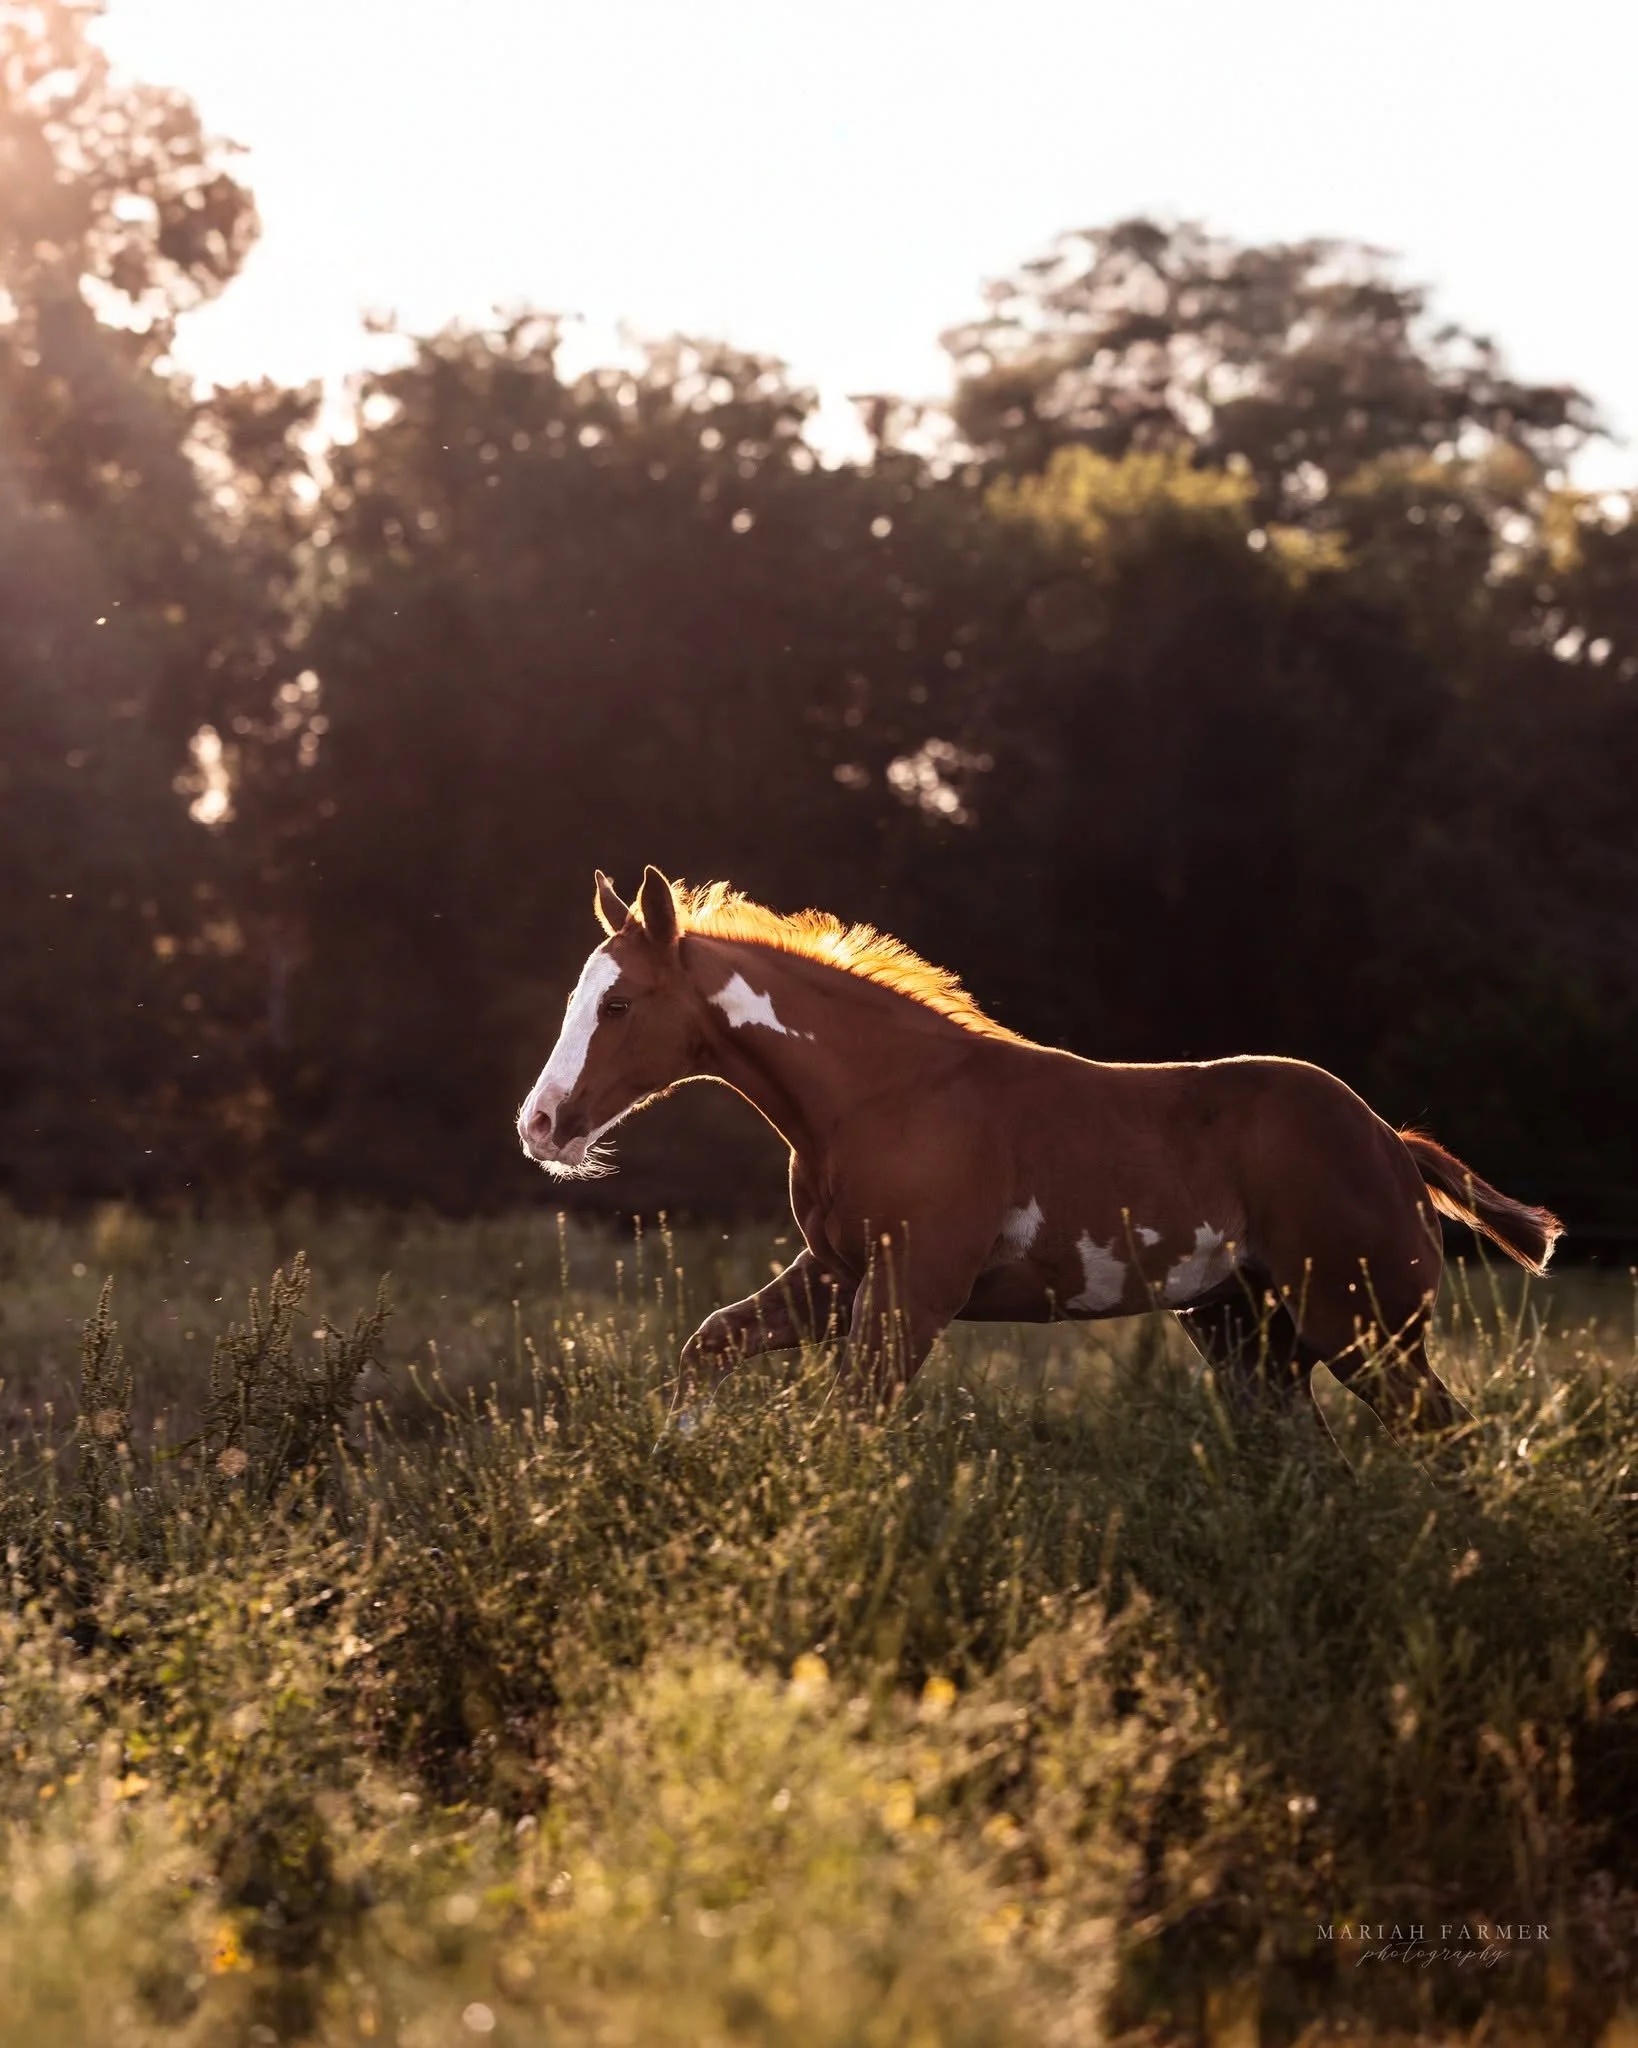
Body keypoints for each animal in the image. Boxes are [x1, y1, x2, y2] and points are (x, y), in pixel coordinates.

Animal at [516, 866, 1562, 1449]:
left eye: (618, 1005)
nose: (541, 1124)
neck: (883, 1095)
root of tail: (1393, 1144)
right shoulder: (835, 1275)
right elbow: (709, 1343)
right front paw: (676, 1465)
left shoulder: (912, 1292)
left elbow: (849, 1426)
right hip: (1248, 1339)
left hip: (1361, 1326)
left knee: (1449, 1445)